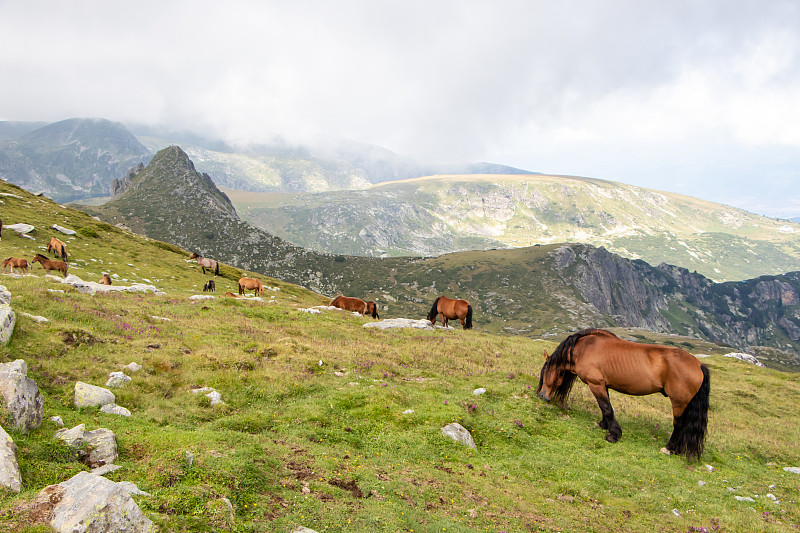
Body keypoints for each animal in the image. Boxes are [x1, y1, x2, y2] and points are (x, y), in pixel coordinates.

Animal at [536, 326, 708, 460]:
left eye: (545, 372)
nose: (542, 396)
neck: (585, 349)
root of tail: (699, 365)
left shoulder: (596, 384)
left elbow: (606, 408)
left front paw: (613, 435)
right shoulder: (603, 385)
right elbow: (606, 408)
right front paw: (604, 425)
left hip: (679, 402)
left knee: (679, 425)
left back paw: (669, 448)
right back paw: (678, 450)